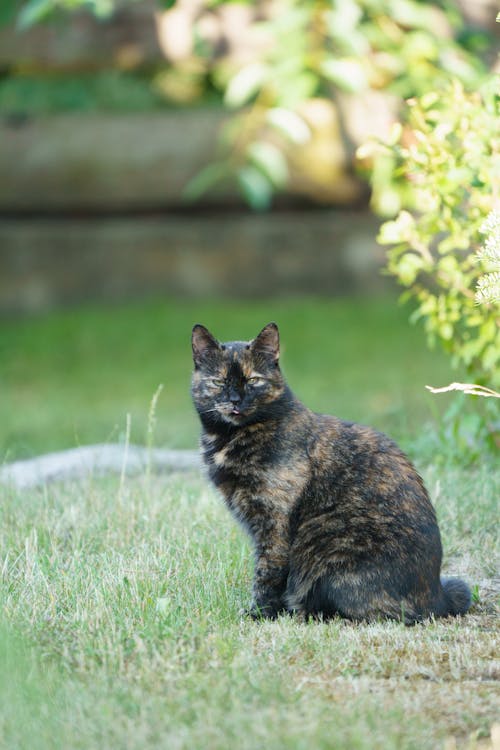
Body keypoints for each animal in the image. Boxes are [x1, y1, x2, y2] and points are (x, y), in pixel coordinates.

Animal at [189, 324, 470, 624]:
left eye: (253, 380)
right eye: (219, 382)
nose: (235, 400)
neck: (234, 436)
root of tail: (437, 596)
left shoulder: (274, 523)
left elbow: (267, 573)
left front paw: (260, 614)